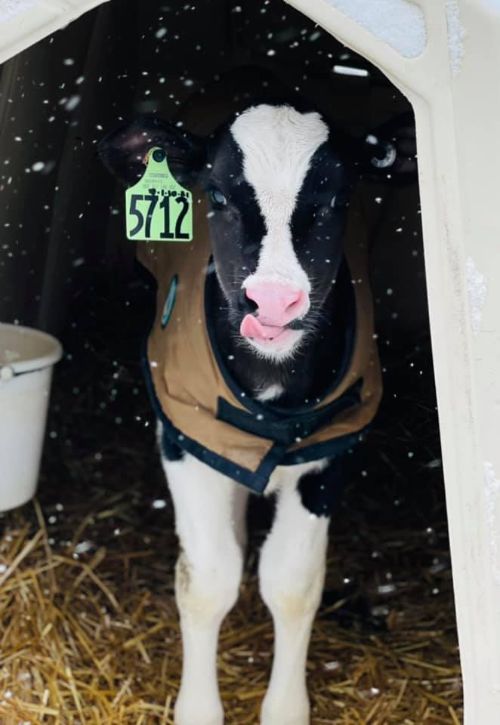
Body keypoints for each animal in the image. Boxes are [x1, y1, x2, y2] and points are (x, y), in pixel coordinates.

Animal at [99, 101, 414, 725]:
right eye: (216, 195)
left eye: (339, 199)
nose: (271, 300)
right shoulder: (182, 430)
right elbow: (208, 579)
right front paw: (198, 710)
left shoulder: (337, 446)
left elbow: (292, 582)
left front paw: (285, 709)